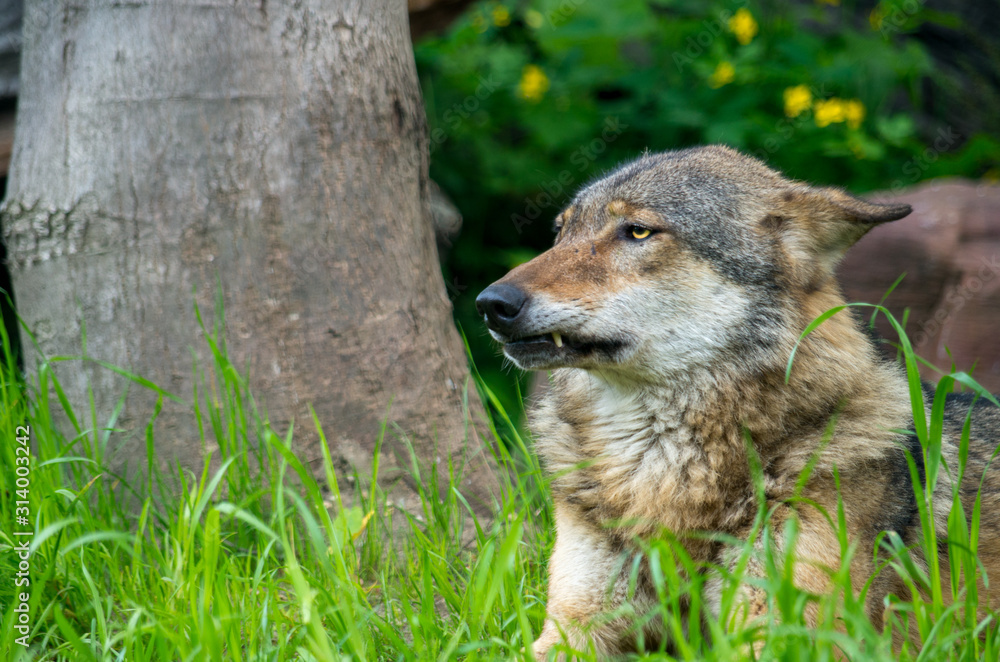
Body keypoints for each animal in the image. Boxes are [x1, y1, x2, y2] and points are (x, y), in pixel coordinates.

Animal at [475, 146, 1000, 658]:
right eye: (561, 233)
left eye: (638, 231)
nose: (490, 304)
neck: (657, 471)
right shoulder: (574, 626)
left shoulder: (785, 634)